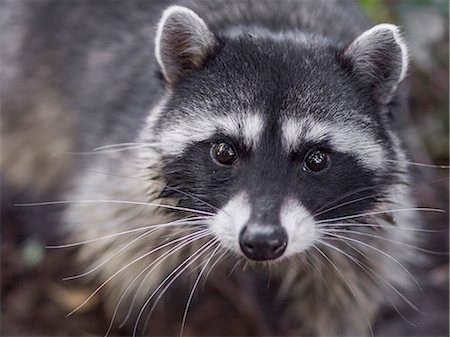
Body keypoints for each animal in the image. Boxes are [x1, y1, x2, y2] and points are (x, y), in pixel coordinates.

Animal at [0, 0, 422, 334]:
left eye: (316, 159)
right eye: (224, 152)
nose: (262, 242)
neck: (276, 26)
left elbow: (343, 294)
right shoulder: (125, 184)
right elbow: (120, 248)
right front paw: (132, 316)